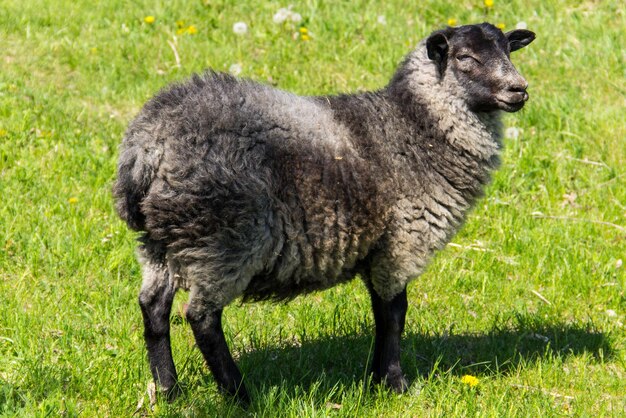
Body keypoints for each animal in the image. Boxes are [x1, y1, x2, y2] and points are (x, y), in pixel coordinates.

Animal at [112, 21, 532, 404]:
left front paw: (375, 379)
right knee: (201, 317)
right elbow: (395, 314)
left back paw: (169, 392)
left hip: (160, 243)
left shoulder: (377, 250)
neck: (411, 125)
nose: (519, 90)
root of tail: (148, 145)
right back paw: (241, 396)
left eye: (508, 51)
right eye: (465, 58)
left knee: (154, 308)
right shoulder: (401, 245)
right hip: (222, 241)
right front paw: (395, 383)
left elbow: (380, 314)